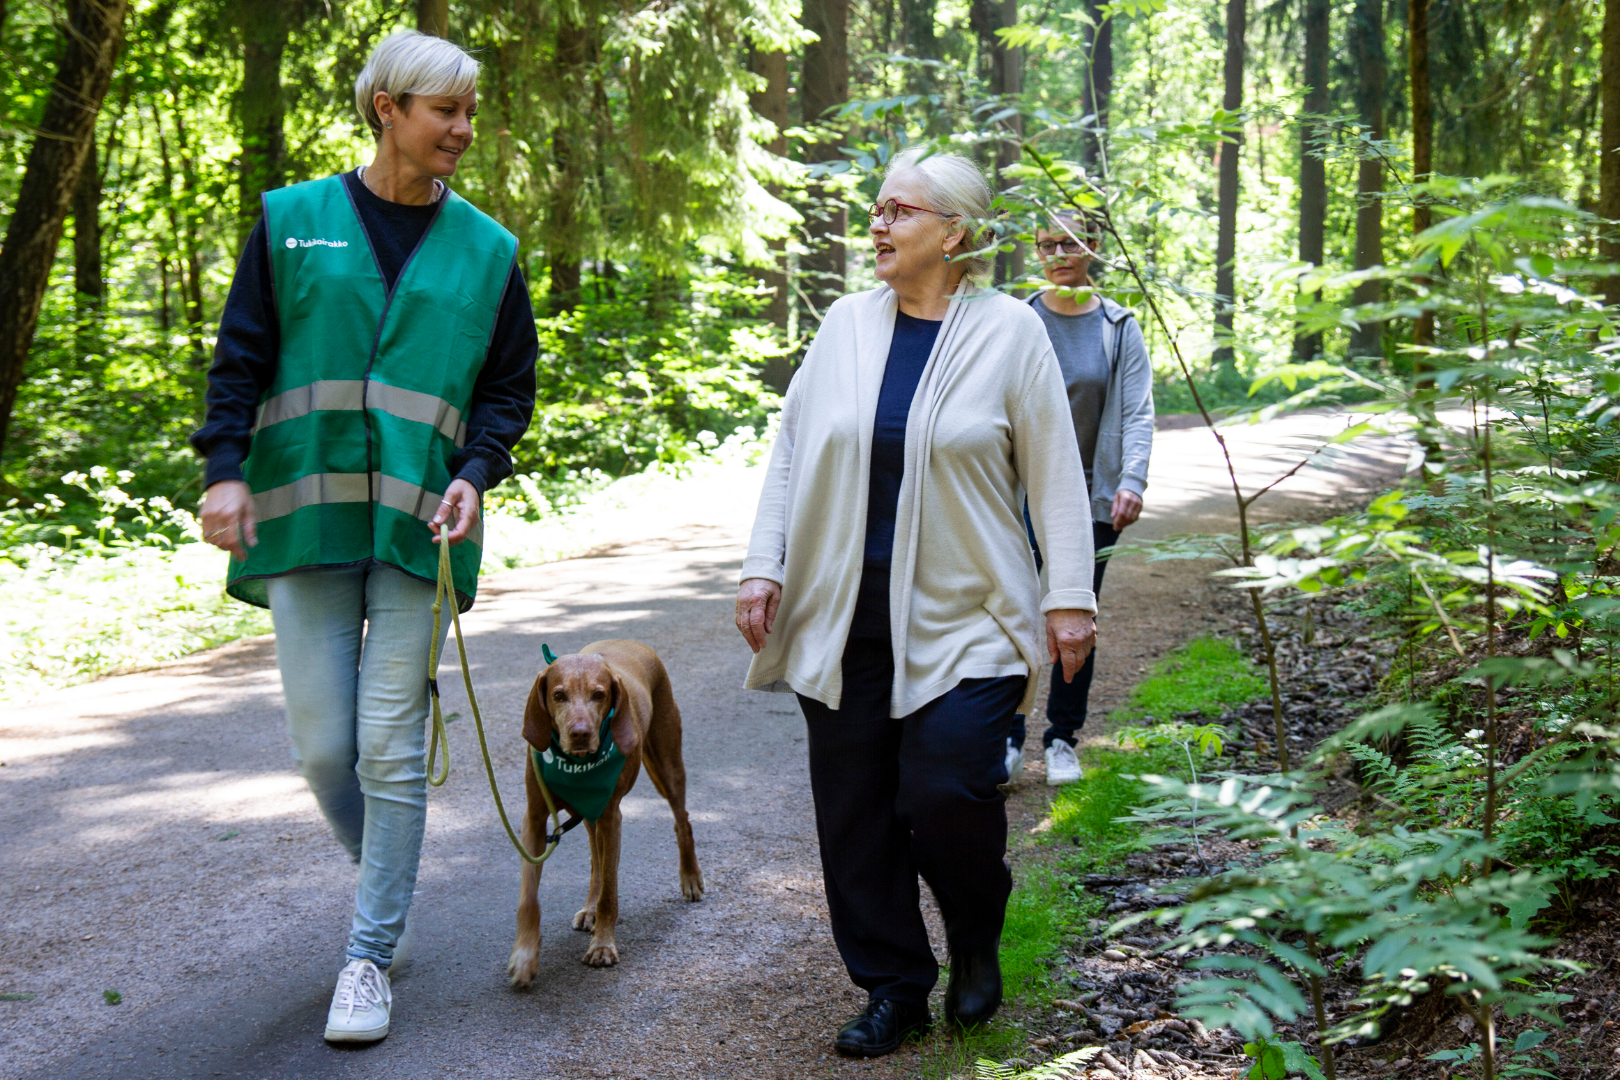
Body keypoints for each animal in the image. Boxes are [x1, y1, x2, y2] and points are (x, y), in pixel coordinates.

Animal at [505, 641, 703, 990]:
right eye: (558, 695)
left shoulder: (611, 817)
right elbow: (529, 899)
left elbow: (610, 893)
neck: (576, 764)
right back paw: (589, 910)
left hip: (666, 764)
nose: (580, 733)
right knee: (596, 863)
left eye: (599, 695)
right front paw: (525, 956)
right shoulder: (535, 818)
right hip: (588, 813)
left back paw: (690, 876)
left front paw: (602, 945)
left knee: (683, 821)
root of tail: (634, 643)